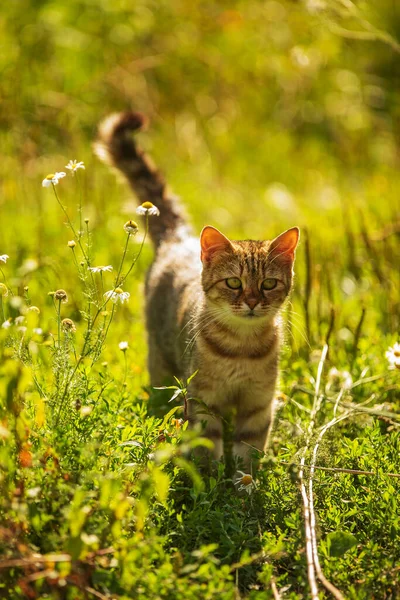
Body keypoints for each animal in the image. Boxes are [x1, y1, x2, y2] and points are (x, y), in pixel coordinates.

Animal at [95, 110, 298, 472]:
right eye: (234, 283)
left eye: (268, 284)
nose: (251, 302)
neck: (241, 349)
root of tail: (179, 238)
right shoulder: (203, 399)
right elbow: (206, 448)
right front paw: (208, 479)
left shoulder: (259, 403)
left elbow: (248, 456)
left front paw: (241, 484)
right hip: (161, 366)